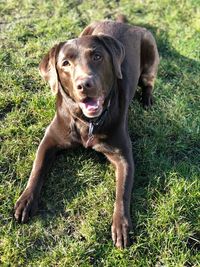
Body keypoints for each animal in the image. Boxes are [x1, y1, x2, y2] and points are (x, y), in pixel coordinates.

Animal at [14, 18, 159, 249]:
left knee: (149, 83)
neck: (87, 123)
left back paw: (147, 100)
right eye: (65, 63)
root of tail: (123, 22)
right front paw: (25, 200)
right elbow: (37, 169)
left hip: (150, 52)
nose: (84, 84)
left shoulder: (123, 156)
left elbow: (122, 192)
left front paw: (121, 225)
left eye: (97, 56)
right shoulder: (49, 139)